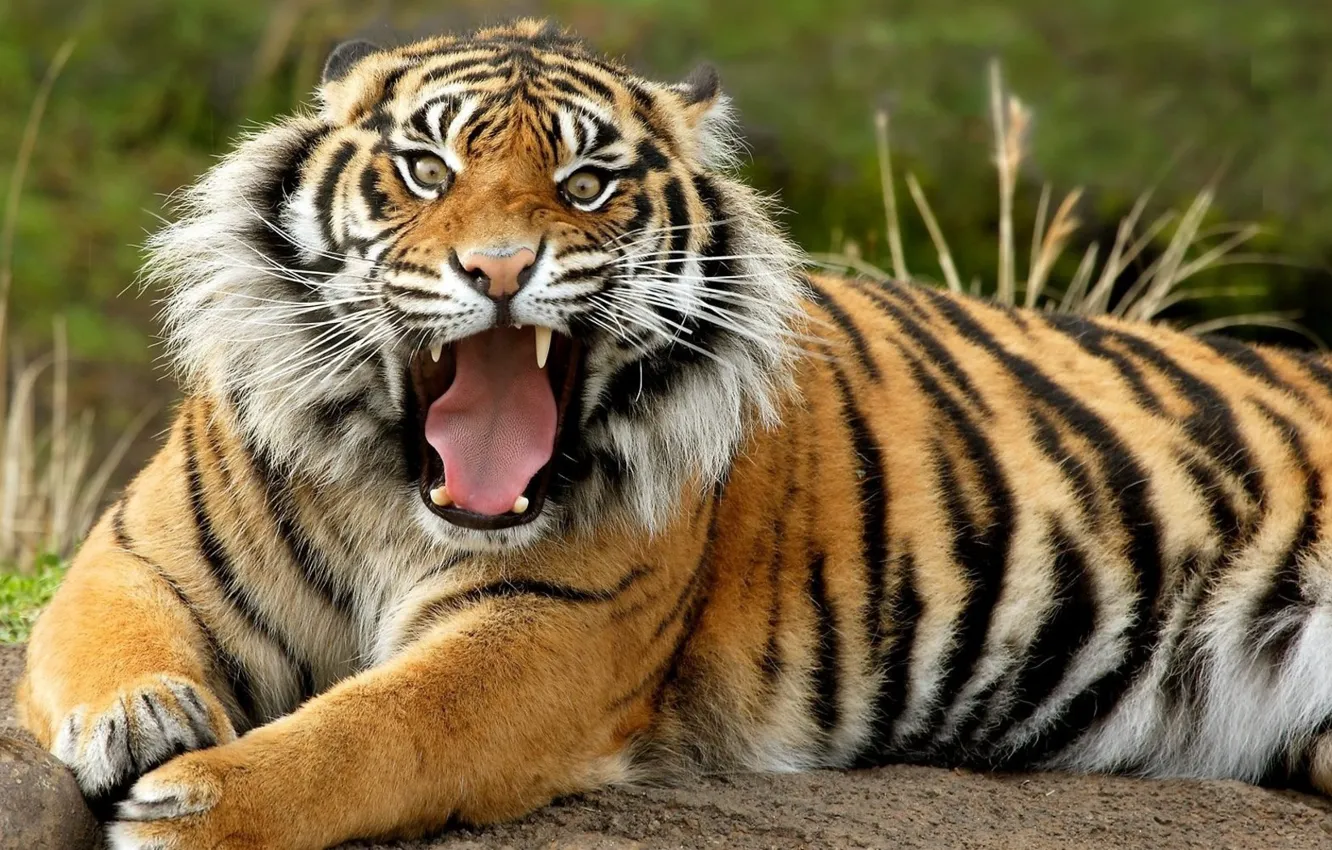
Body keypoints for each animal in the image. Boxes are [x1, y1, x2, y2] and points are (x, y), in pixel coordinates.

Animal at [16, 17, 1332, 850]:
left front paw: (196, 807)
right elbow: (104, 640)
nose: (502, 269)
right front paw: (141, 719)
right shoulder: (136, 551)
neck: (394, 489)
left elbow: (374, 729)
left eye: (587, 184)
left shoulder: (546, 633)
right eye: (427, 168)